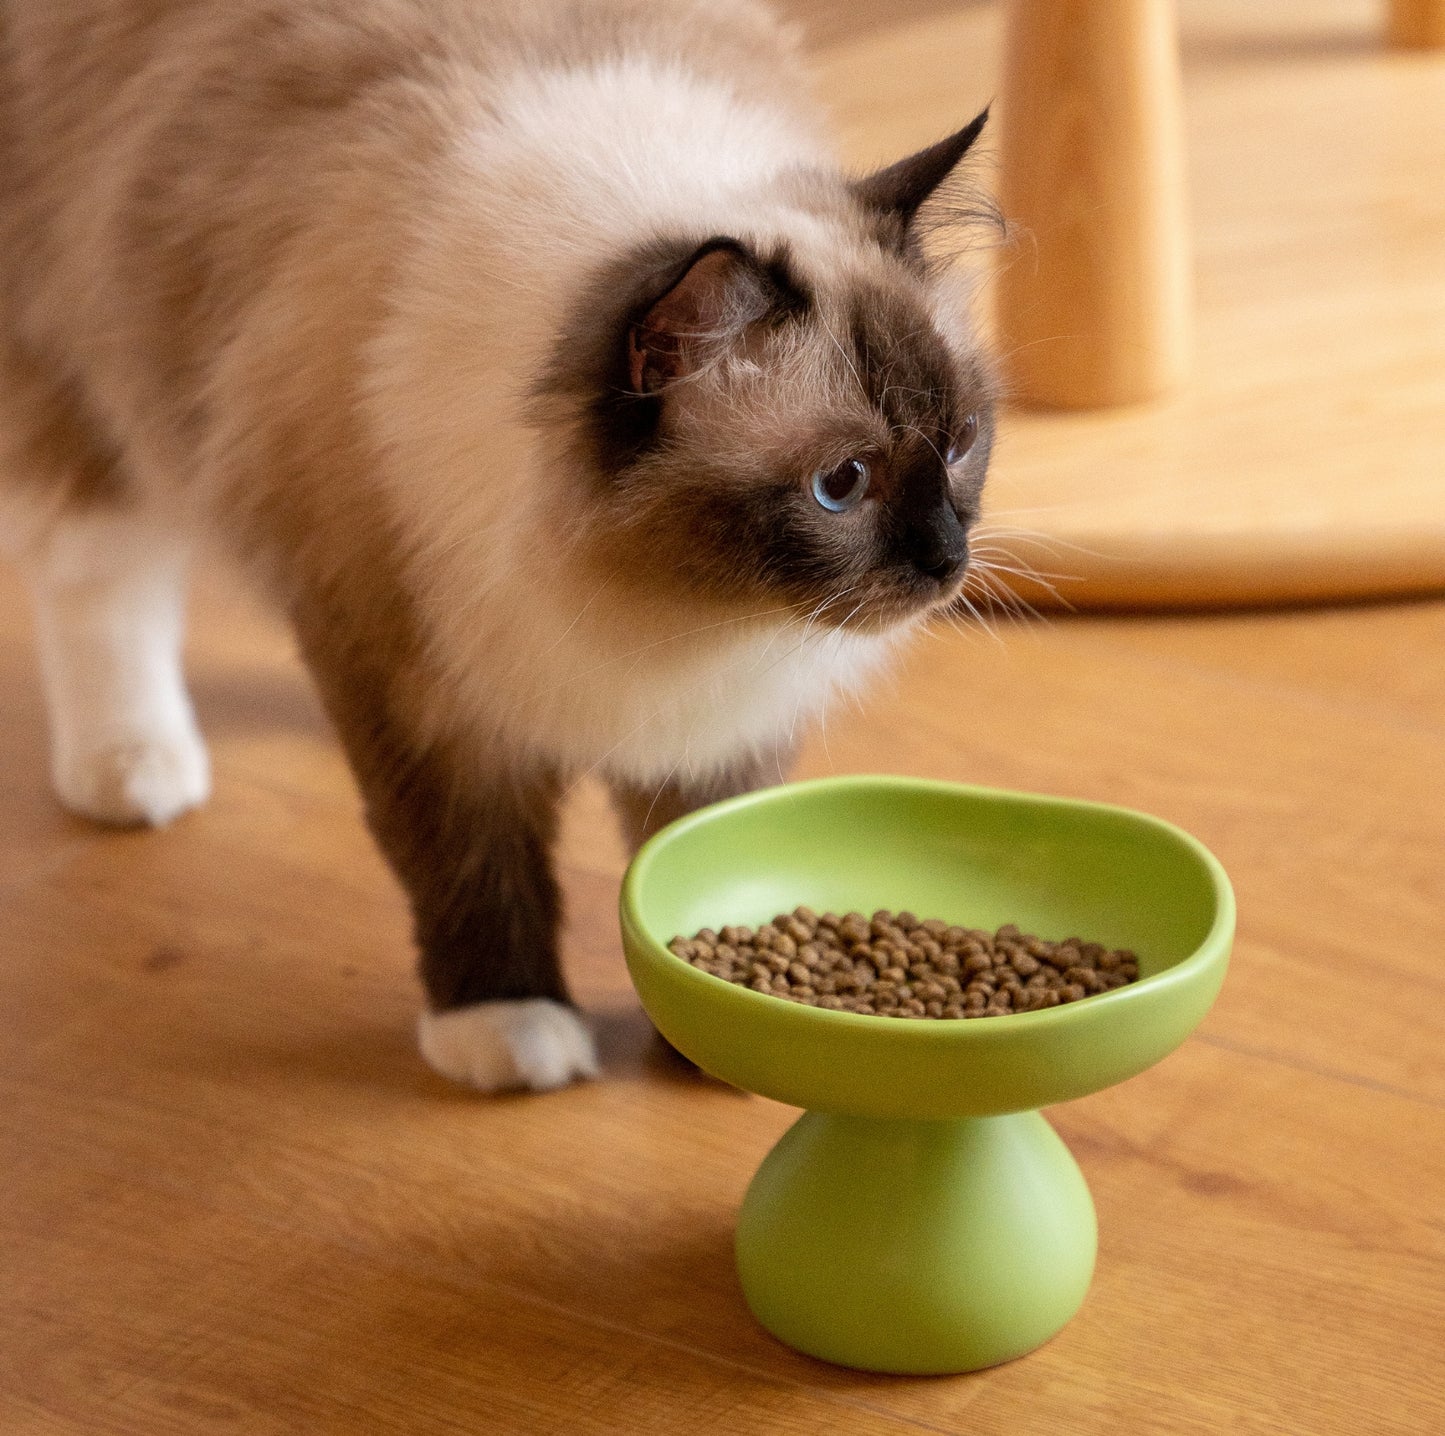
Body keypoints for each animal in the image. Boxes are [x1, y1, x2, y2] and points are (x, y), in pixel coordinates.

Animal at [0, 0, 994, 1086]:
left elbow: (686, 844)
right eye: (840, 484)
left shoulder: (717, 722)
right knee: (97, 575)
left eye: (958, 442)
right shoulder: (419, 685)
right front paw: (510, 1029)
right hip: (89, 382)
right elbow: (466, 864)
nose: (947, 560)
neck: (681, 609)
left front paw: (701, 1021)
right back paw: (134, 768)